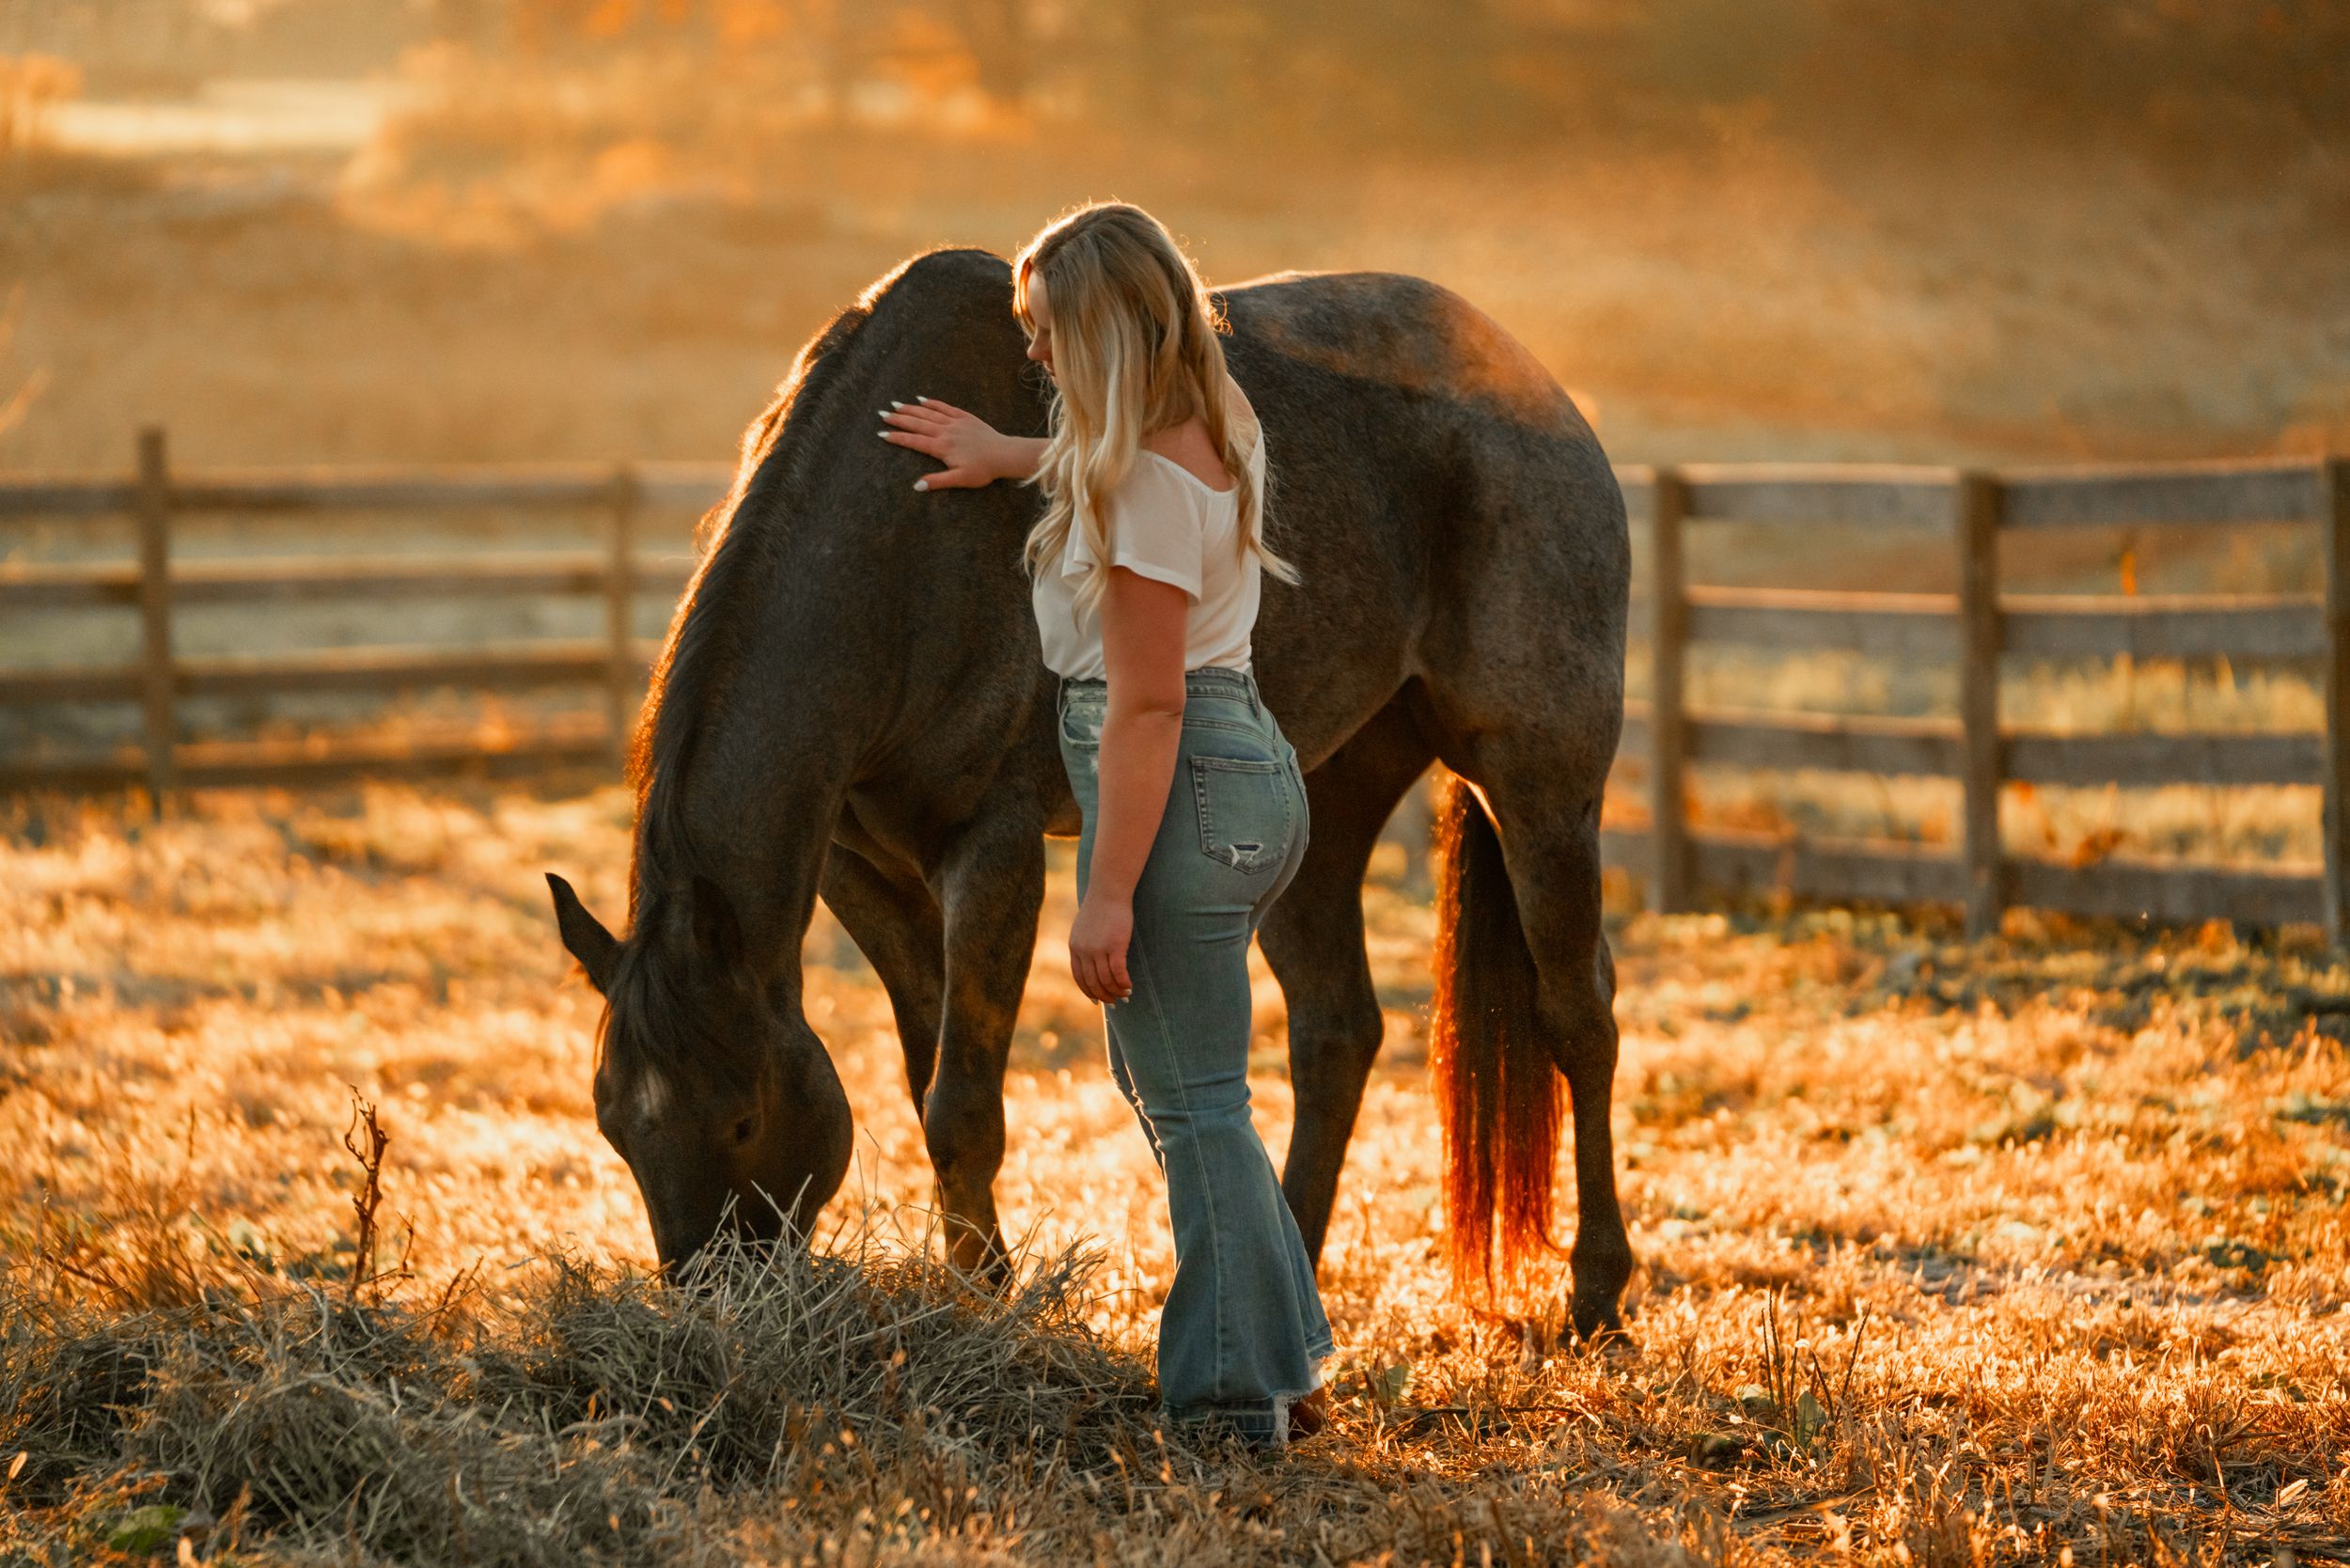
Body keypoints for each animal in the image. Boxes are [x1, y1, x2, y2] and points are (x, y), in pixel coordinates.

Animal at [545, 246, 1634, 1337]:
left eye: (742, 1118)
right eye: (615, 1128)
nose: (713, 1304)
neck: (901, 542)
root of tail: (1542, 396)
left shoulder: (992, 849)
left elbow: (961, 1108)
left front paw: (986, 1310)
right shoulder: (858, 866)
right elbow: (928, 1073)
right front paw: (979, 1284)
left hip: (1540, 787)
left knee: (1577, 1014)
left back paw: (1596, 1293)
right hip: (1318, 807)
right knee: (1336, 1030)